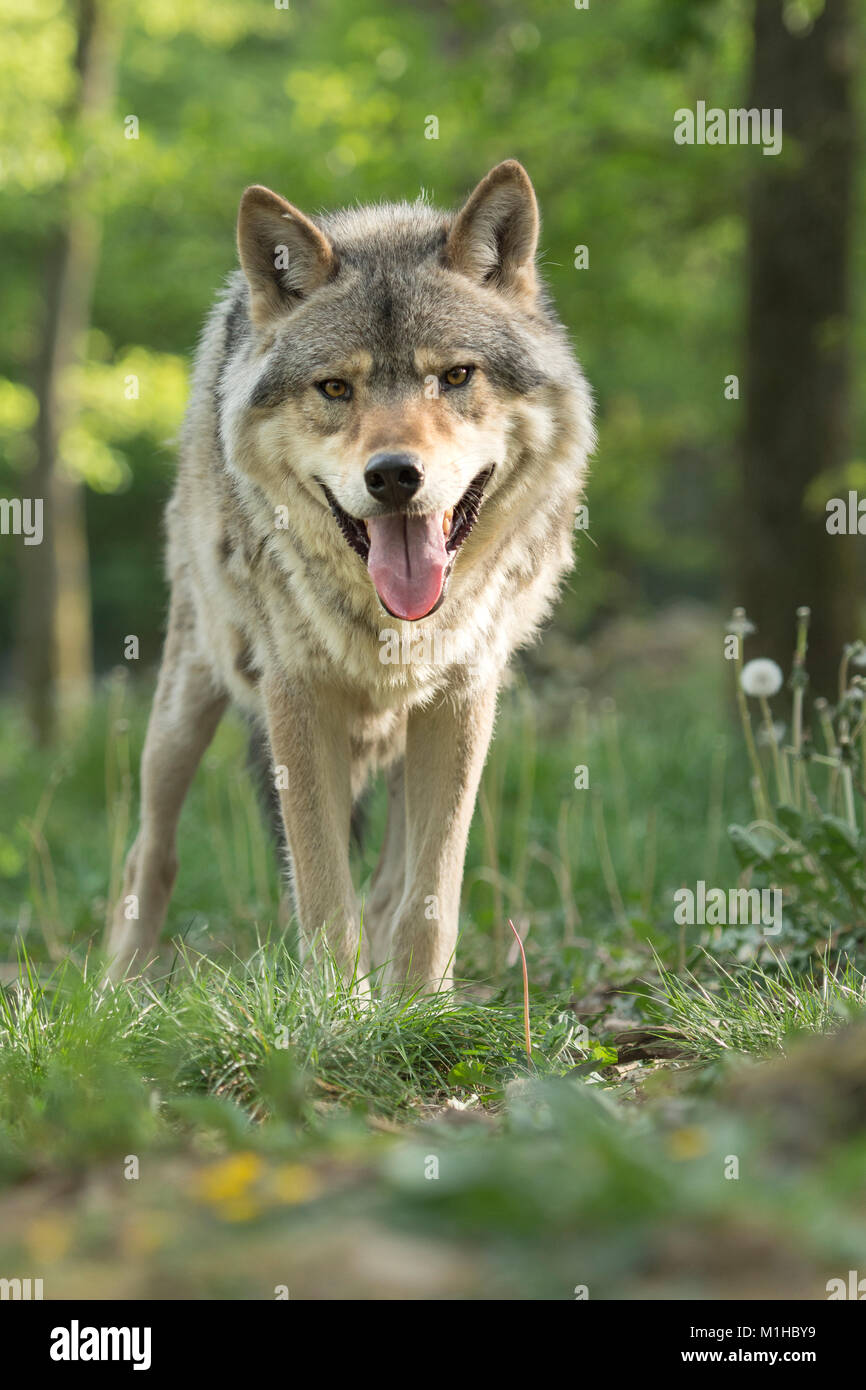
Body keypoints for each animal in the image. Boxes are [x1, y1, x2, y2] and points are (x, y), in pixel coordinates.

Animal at [107, 159, 594, 989]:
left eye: (455, 376)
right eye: (336, 387)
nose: (394, 475)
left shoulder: (464, 697)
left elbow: (430, 896)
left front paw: (423, 1008)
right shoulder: (296, 695)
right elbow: (324, 897)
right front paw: (339, 1009)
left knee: (392, 884)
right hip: (188, 696)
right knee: (151, 852)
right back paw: (120, 993)